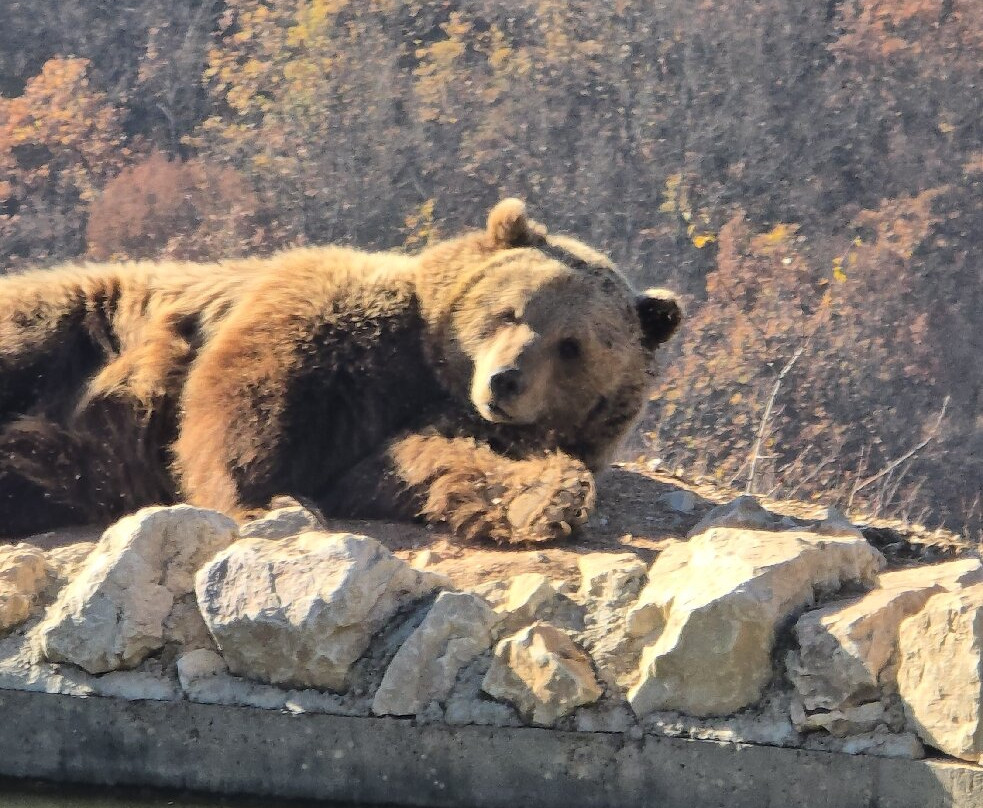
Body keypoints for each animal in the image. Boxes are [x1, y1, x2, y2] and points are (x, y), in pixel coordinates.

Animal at [0, 199, 681, 543]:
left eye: (572, 346)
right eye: (510, 310)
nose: (504, 380)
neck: (429, 373)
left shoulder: (421, 432)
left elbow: (424, 468)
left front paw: (542, 500)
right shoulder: (327, 312)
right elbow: (244, 400)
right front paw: (255, 499)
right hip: (73, 323)